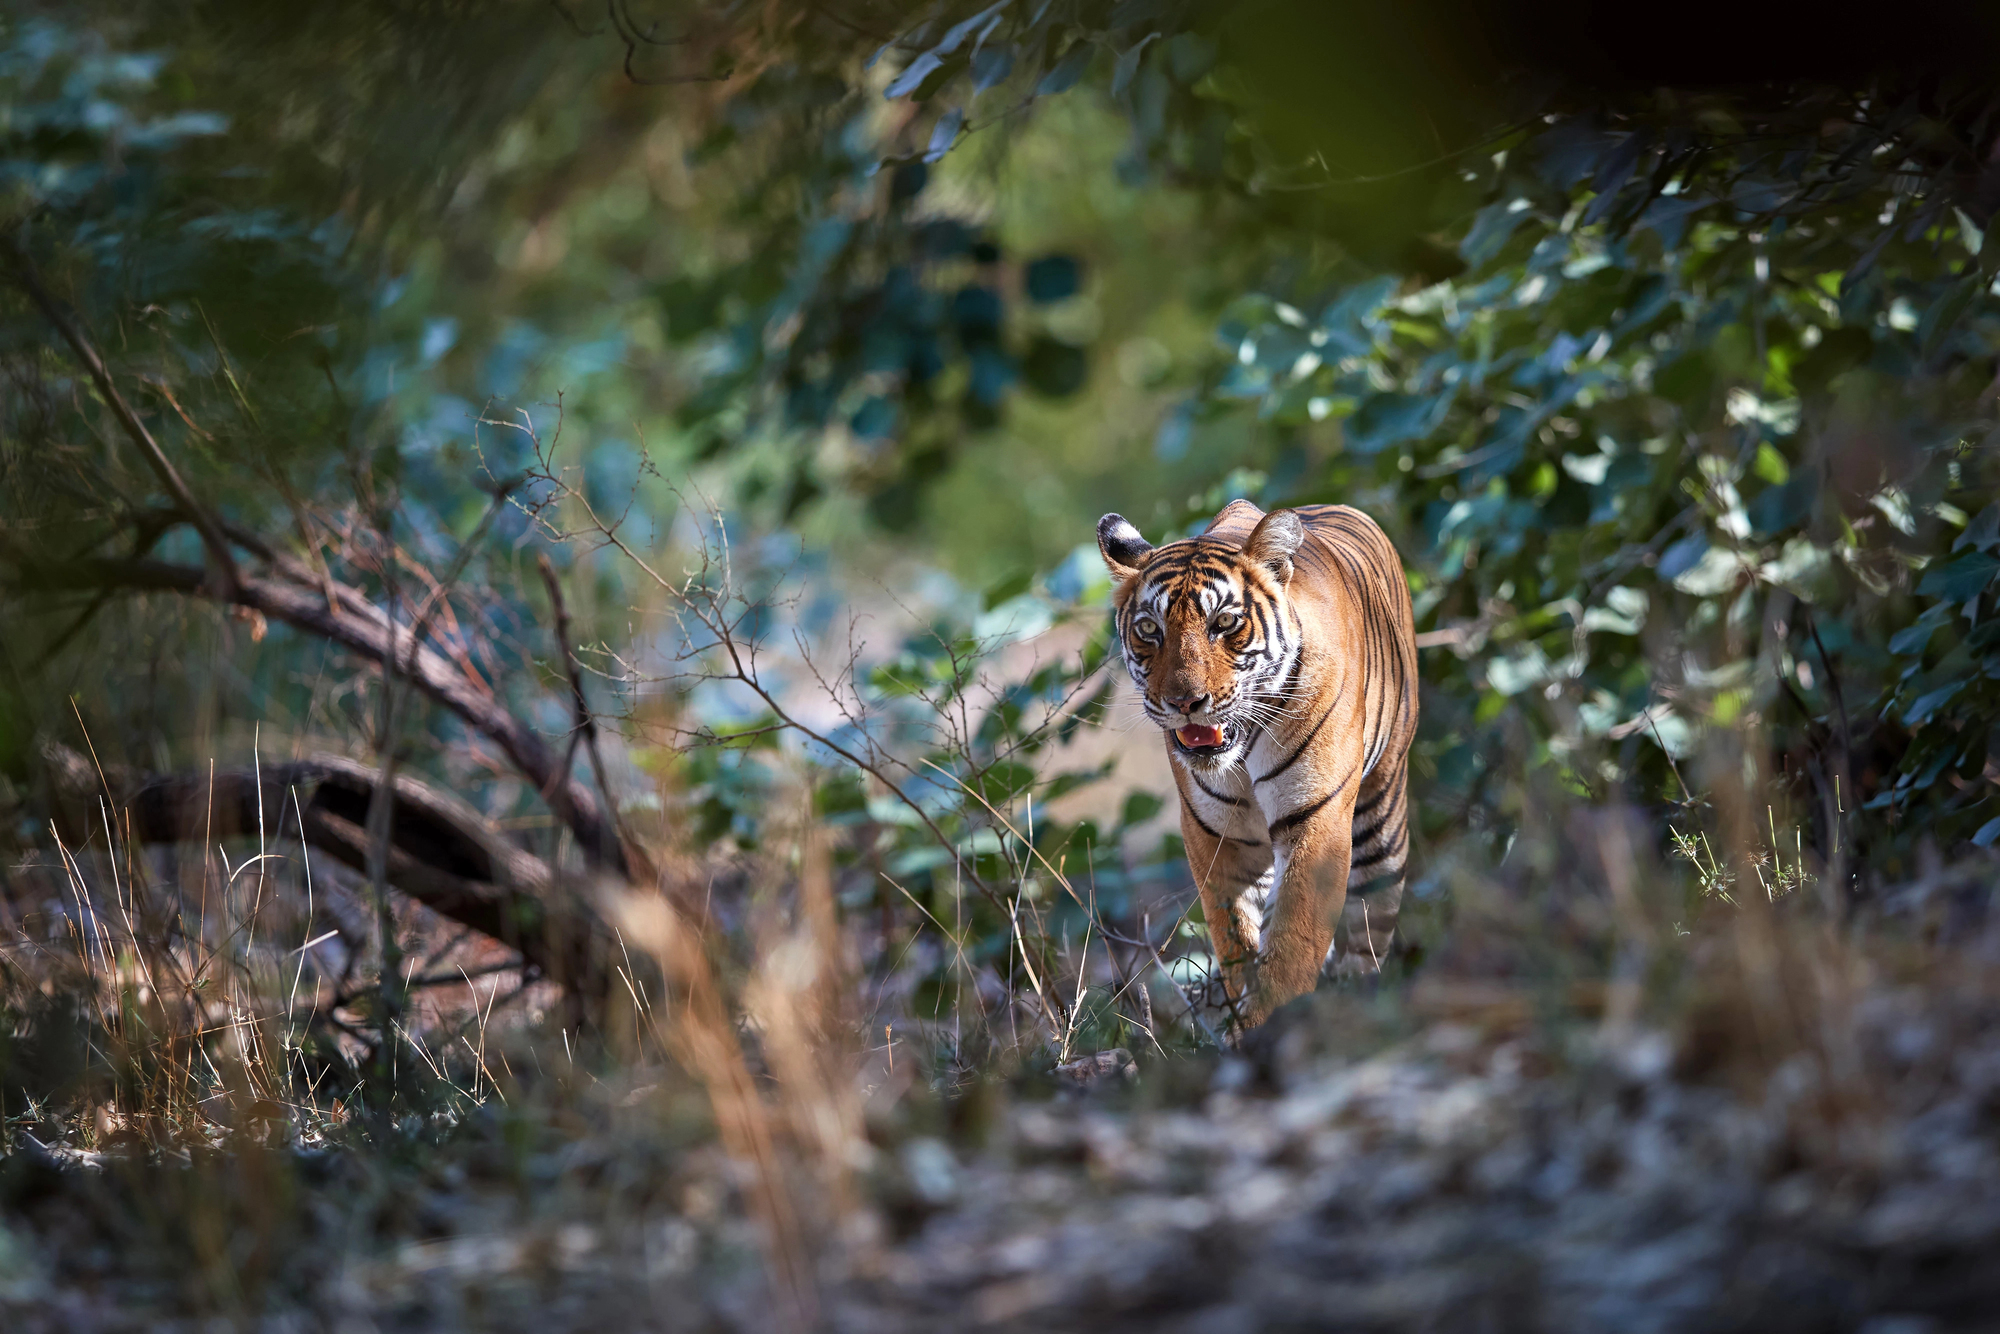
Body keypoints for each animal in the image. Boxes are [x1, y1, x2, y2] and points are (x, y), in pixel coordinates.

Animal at [1096, 499, 1419, 1031]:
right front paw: (1247, 1023)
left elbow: (1291, 942)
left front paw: (1275, 1023)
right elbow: (1238, 939)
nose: (1186, 703)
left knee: (1365, 938)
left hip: (1382, 825)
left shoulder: (1315, 820)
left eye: (1225, 623)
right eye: (1149, 630)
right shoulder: (1216, 836)